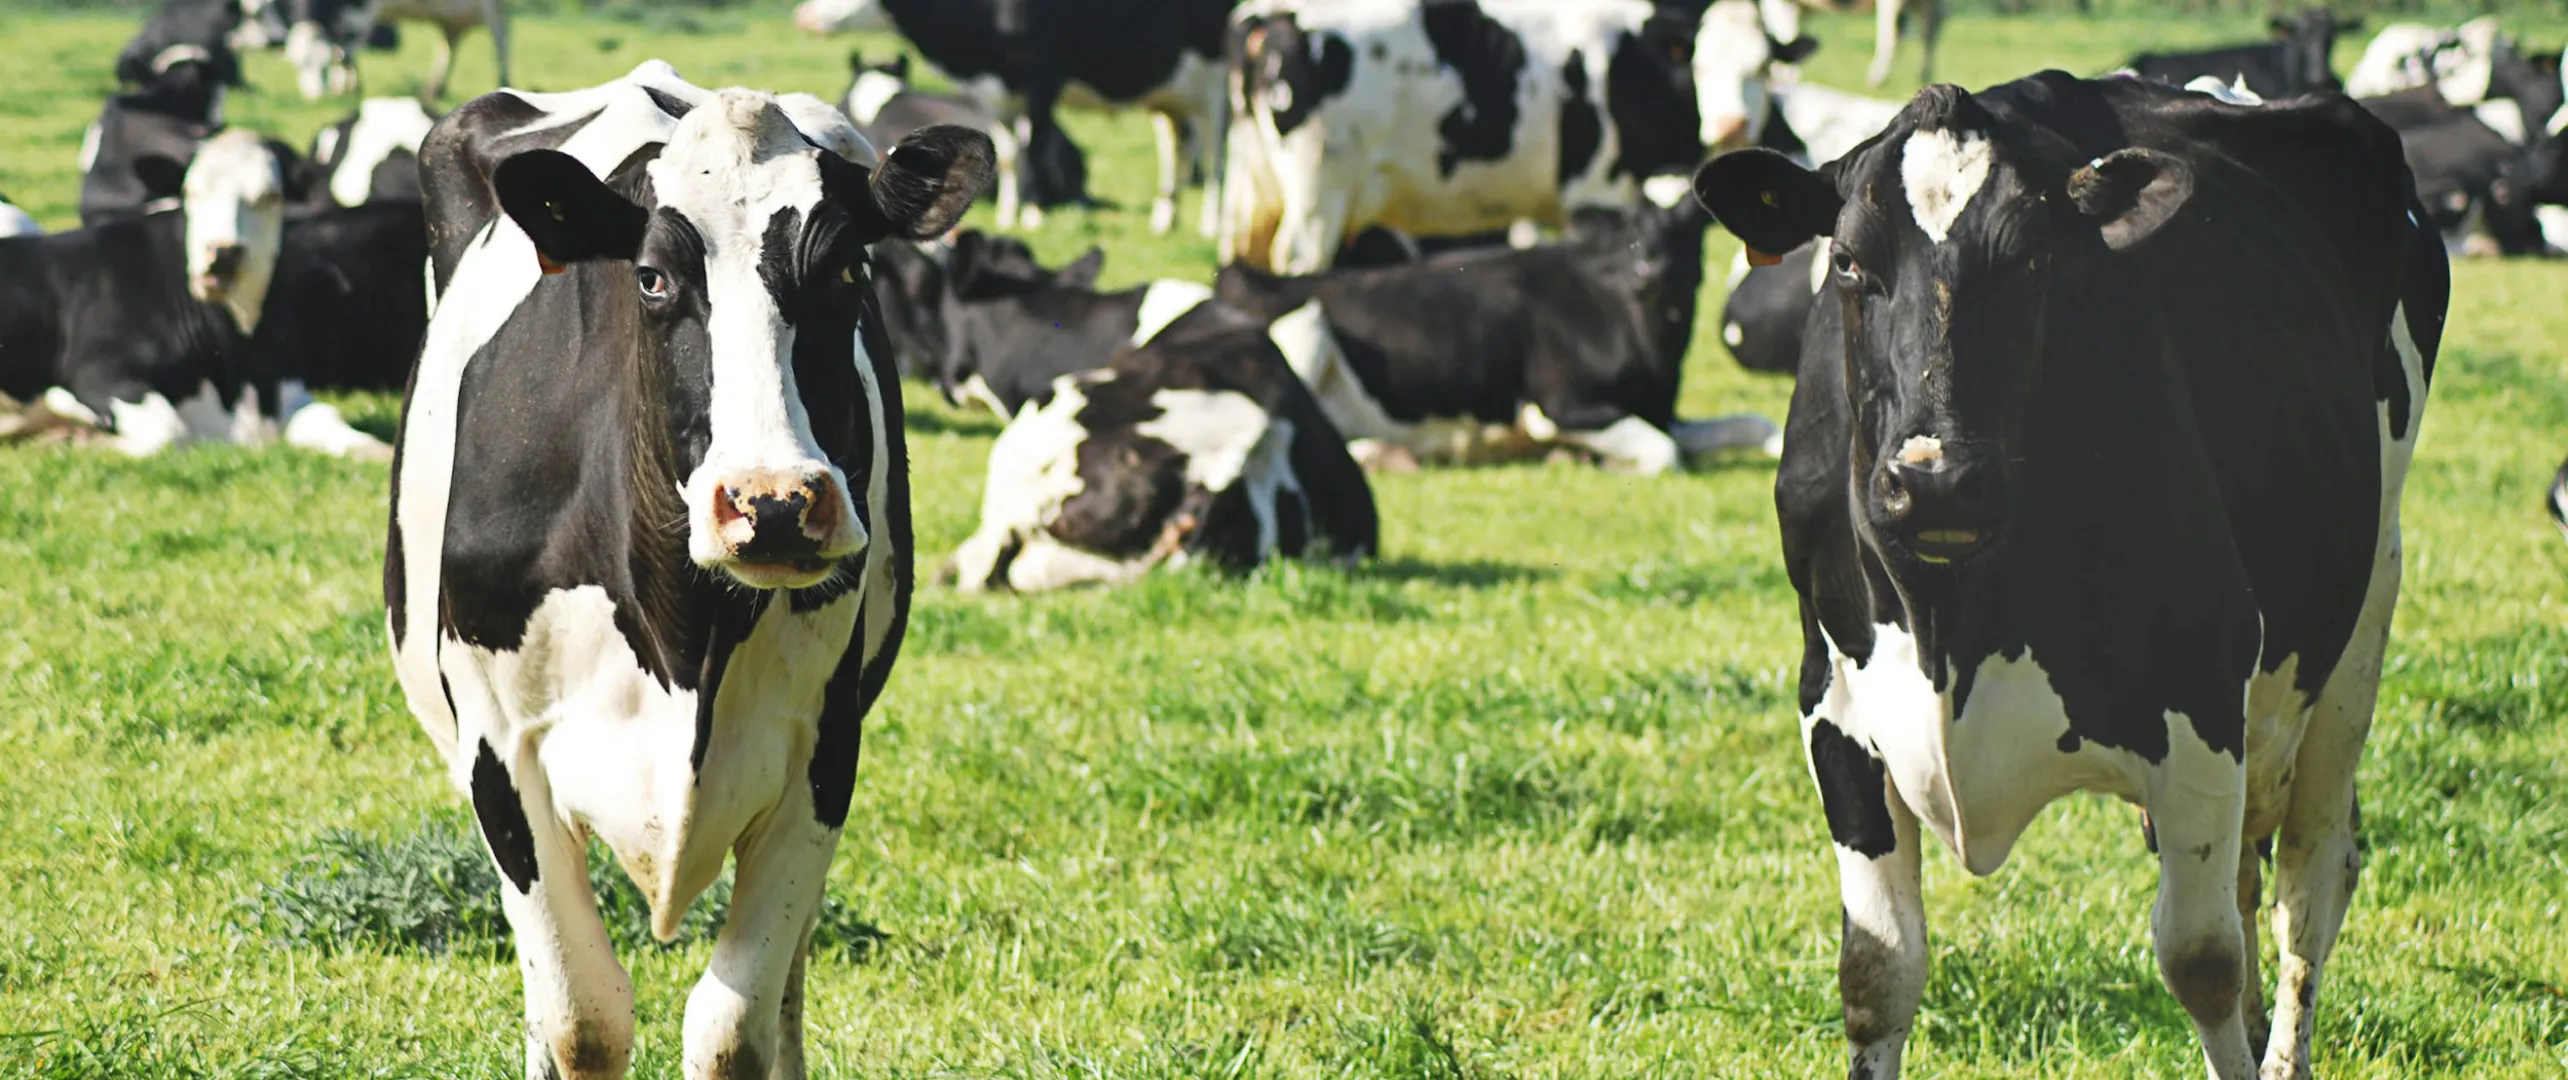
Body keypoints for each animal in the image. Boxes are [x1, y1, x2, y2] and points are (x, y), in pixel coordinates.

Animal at [281, 0, 509, 101]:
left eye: (324, 64)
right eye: (297, 64)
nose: (315, 96)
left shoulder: (360, 13)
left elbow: (349, 50)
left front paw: (352, 88)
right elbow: (344, 50)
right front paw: (343, 87)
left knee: (501, 37)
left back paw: (503, 81)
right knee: (450, 43)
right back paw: (435, 89)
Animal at [385, 62, 991, 1079]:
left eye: (847, 271)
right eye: (654, 277)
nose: (773, 501)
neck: (682, 636)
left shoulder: (823, 750)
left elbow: (733, 1029)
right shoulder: (500, 752)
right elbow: (581, 1021)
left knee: (786, 989)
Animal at [1216, 193, 1778, 473]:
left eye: (1686, 230)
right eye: (1627, 236)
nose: (1651, 272)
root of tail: (1248, 276)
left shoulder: (1662, 411)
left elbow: (1756, 426)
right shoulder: (1558, 406)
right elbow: (1665, 453)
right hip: (1305, 326)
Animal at [1219, 0, 1795, 274]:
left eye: (1763, 67)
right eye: (1700, 63)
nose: (1731, 124)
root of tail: (1270, 16)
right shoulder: (1596, 191)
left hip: (1254, 195)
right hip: (1320, 197)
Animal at [1690, 71, 2445, 1079]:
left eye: (2033, 259)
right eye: (1846, 261)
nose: (1936, 480)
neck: (1950, 622)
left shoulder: (2202, 692)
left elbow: (2201, 960)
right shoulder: (1836, 705)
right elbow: (1876, 971)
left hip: (2361, 620)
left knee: (2309, 881)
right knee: (2256, 877)